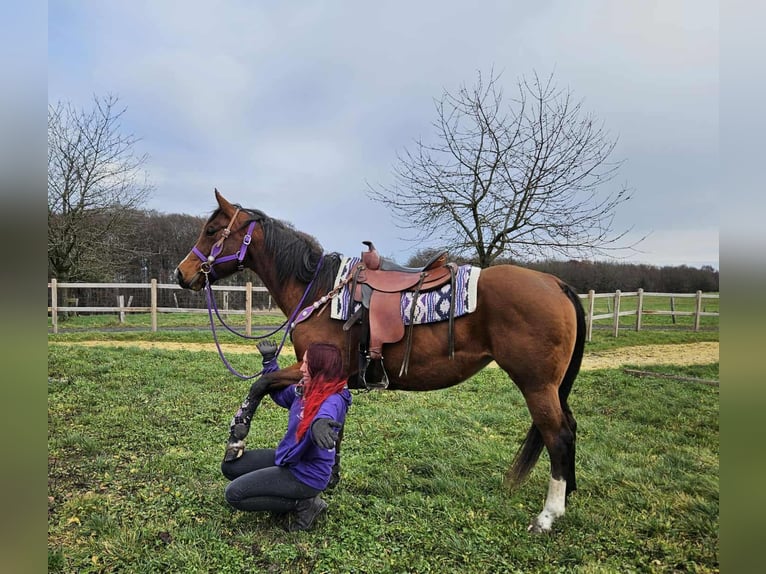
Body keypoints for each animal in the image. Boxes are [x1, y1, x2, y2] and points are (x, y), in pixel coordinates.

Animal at [175, 190, 585, 533]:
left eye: (212, 230)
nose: (182, 273)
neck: (320, 290)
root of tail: (556, 284)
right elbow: (331, 424)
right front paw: (330, 478)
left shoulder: (315, 366)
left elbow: (260, 385)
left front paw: (238, 439)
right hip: (550, 387)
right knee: (569, 428)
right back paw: (569, 492)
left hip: (536, 385)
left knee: (558, 435)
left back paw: (548, 515)